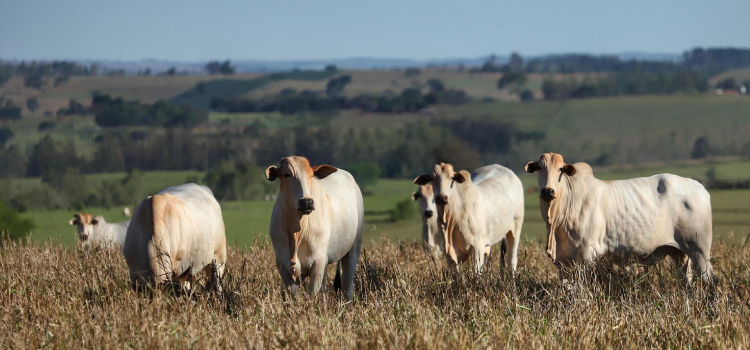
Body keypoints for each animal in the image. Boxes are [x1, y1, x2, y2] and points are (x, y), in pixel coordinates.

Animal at [266, 156, 366, 300]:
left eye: (311, 175)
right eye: (286, 174)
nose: (306, 202)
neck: (297, 231)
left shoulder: (318, 262)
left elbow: (311, 294)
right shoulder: (282, 265)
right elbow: (295, 296)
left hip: (353, 249)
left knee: (347, 285)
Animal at [528, 152, 716, 284]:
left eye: (560, 169)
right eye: (539, 168)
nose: (548, 191)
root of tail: (699, 187)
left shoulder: (587, 254)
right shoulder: (563, 261)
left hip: (700, 250)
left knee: (709, 280)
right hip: (680, 253)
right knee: (686, 280)